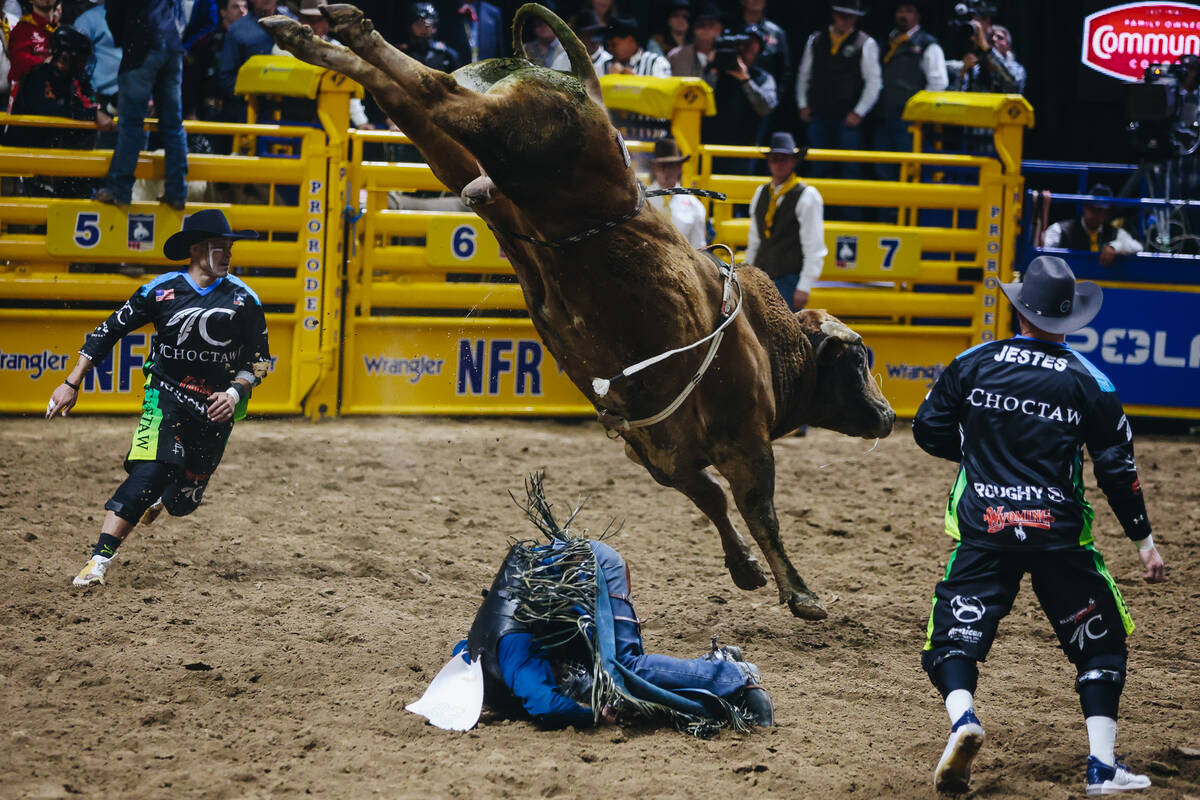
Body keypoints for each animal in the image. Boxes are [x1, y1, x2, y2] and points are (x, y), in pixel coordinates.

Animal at [267, 3, 897, 623]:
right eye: (860, 358)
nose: (889, 416)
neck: (768, 343)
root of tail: (588, 86)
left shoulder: (663, 452)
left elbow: (712, 499)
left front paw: (744, 567)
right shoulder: (744, 439)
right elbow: (755, 505)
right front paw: (801, 592)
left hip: (477, 159)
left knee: (414, 102)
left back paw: (311, 37)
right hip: (521, 135)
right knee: (437, 90)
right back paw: (348, 29)